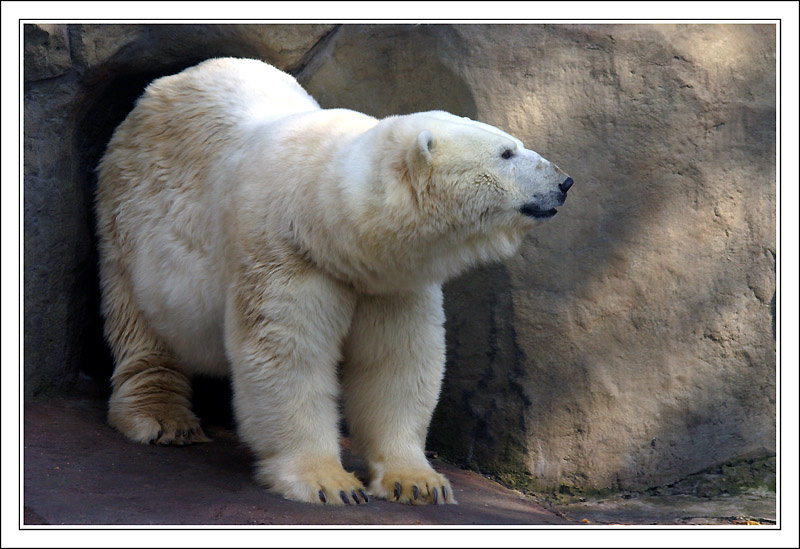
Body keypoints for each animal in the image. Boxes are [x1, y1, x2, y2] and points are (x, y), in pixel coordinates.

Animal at [95, 57, 573, 506]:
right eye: (506, 153)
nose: (565, 181)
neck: (327, 219)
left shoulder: (391, 282)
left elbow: (397, 362)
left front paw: (418, 482)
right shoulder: (286, 255)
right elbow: (288, 358)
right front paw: (329, 483)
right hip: (129, 214)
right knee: (138, 321)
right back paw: (163, 418)